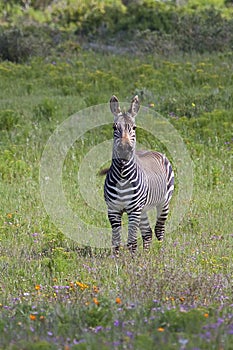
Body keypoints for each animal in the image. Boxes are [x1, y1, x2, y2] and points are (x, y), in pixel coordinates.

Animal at [102, 95, 175, 254]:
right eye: (114, 127)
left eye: (134, 127)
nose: (124, 148)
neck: (122, 175)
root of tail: (153, 150)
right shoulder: (113, 210)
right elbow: (116, 240)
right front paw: (116, 258)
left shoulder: (134, 210)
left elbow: (132, 241)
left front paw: (133, 259)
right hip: (143, 209)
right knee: (147, 232)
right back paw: (146, 255)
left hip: (163, 202)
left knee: (159, 230)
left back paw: (160, 253)